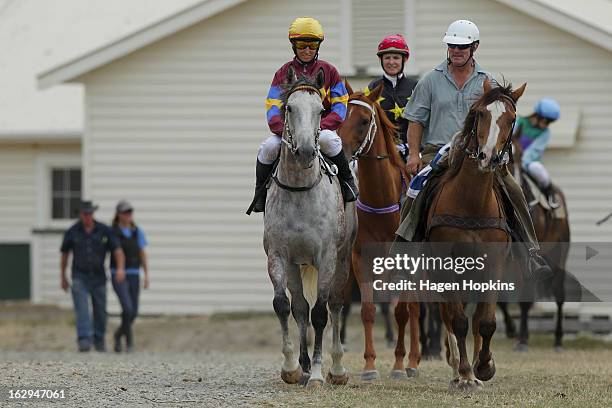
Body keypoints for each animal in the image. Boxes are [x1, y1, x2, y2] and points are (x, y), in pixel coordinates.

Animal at [264, 66, 358, 386]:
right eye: (290, 108)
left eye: (320, 110)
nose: (305, 151)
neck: (300, 191)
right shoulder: (279, 256)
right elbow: (285, 306)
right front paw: (292, 367)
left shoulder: (326, 256)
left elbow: (320, 312)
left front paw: (318, 373)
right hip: (297, 265)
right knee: (300, 307)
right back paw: (303, 365)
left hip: (343, 259)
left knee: (336, 303)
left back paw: (337, 368)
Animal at [334, 81, 420, 380]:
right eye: (340, 118)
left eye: (363, 120)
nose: (341, 154)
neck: (382, 203)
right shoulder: (361, 259)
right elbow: (368, 310)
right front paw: (370, 365)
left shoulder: (404, 263)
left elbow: (402, 311)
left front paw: (398, 364)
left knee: (415, 308)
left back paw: (413, 361)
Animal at [426, 79, 524, 388]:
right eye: (480, 113)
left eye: (511, 119)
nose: (487, 157)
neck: (471, 202)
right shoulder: (444, 266)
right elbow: (457, 321)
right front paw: (467, 374)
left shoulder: (494, 263)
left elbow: (486, 321)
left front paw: (485, 366)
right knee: (448, 316)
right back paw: (458, 370)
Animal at [500, 127, 572, 350]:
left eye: (521, 155)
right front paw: (512, 330)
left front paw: (522, 339)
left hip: (559, 253)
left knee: (559, 293)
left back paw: (558, 338)